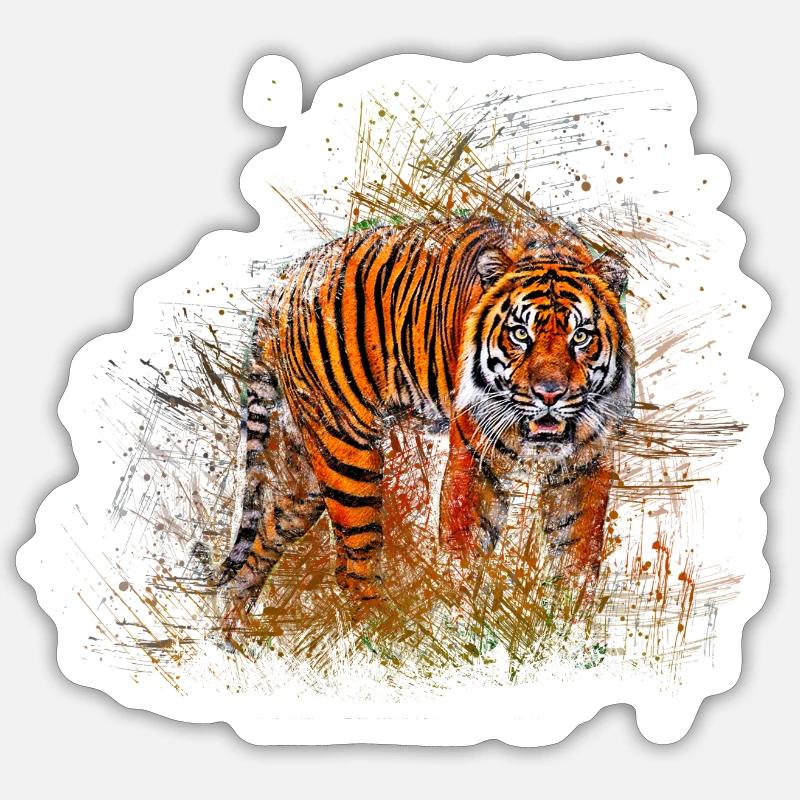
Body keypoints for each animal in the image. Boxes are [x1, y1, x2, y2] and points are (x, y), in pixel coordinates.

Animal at [216, 214, 634, 622]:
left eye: (580, 336)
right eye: (519, 334)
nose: (549, 393)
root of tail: (283, 284)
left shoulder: (585, 464)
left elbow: (578, 554)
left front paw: (569, 627)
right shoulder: (474, 459)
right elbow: (464, 553)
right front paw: (459, 625)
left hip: (304, 469)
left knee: (263, 539)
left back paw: (232, 632)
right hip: (345, 450)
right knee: (354, 565)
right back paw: (385, 635)